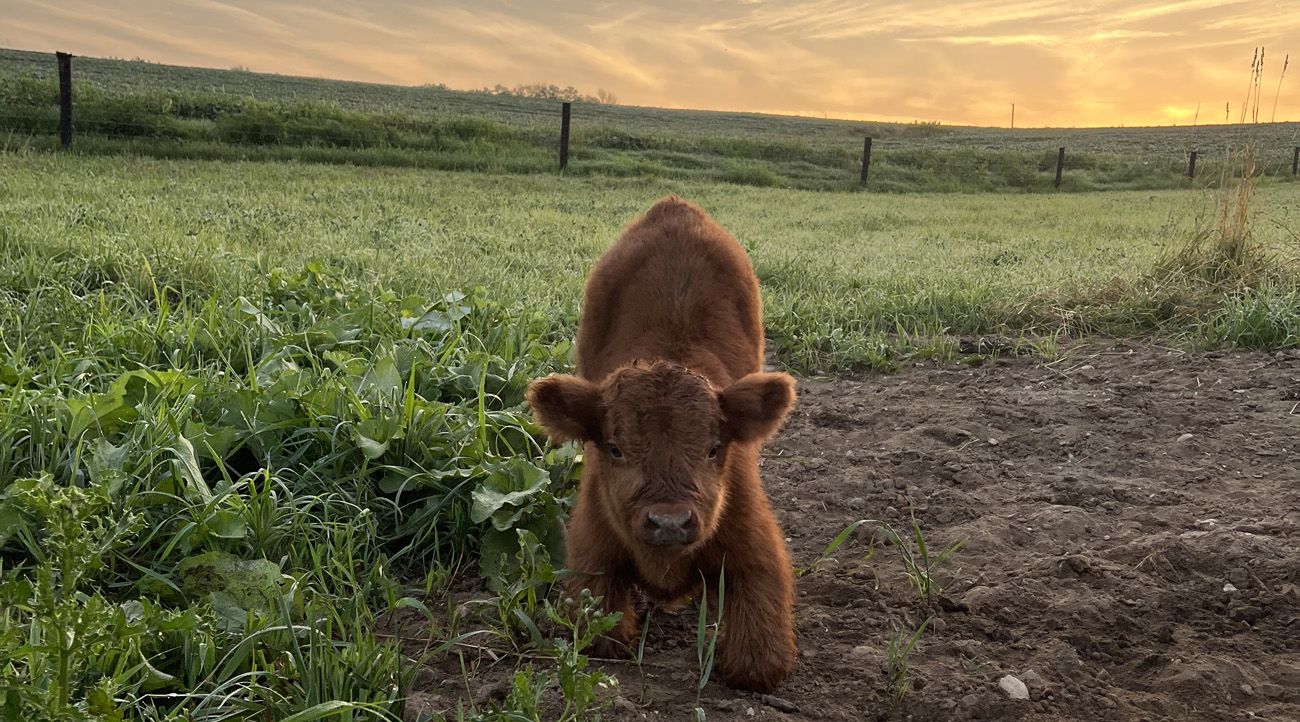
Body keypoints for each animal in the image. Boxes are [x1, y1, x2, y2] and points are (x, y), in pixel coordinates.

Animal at [526, 195, 798, 692]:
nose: (669, 522)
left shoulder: (754, 545)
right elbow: (602, 633)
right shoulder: (592, 551)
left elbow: (759, 659)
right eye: (615, 448)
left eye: (713, 447)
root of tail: (675, 208)